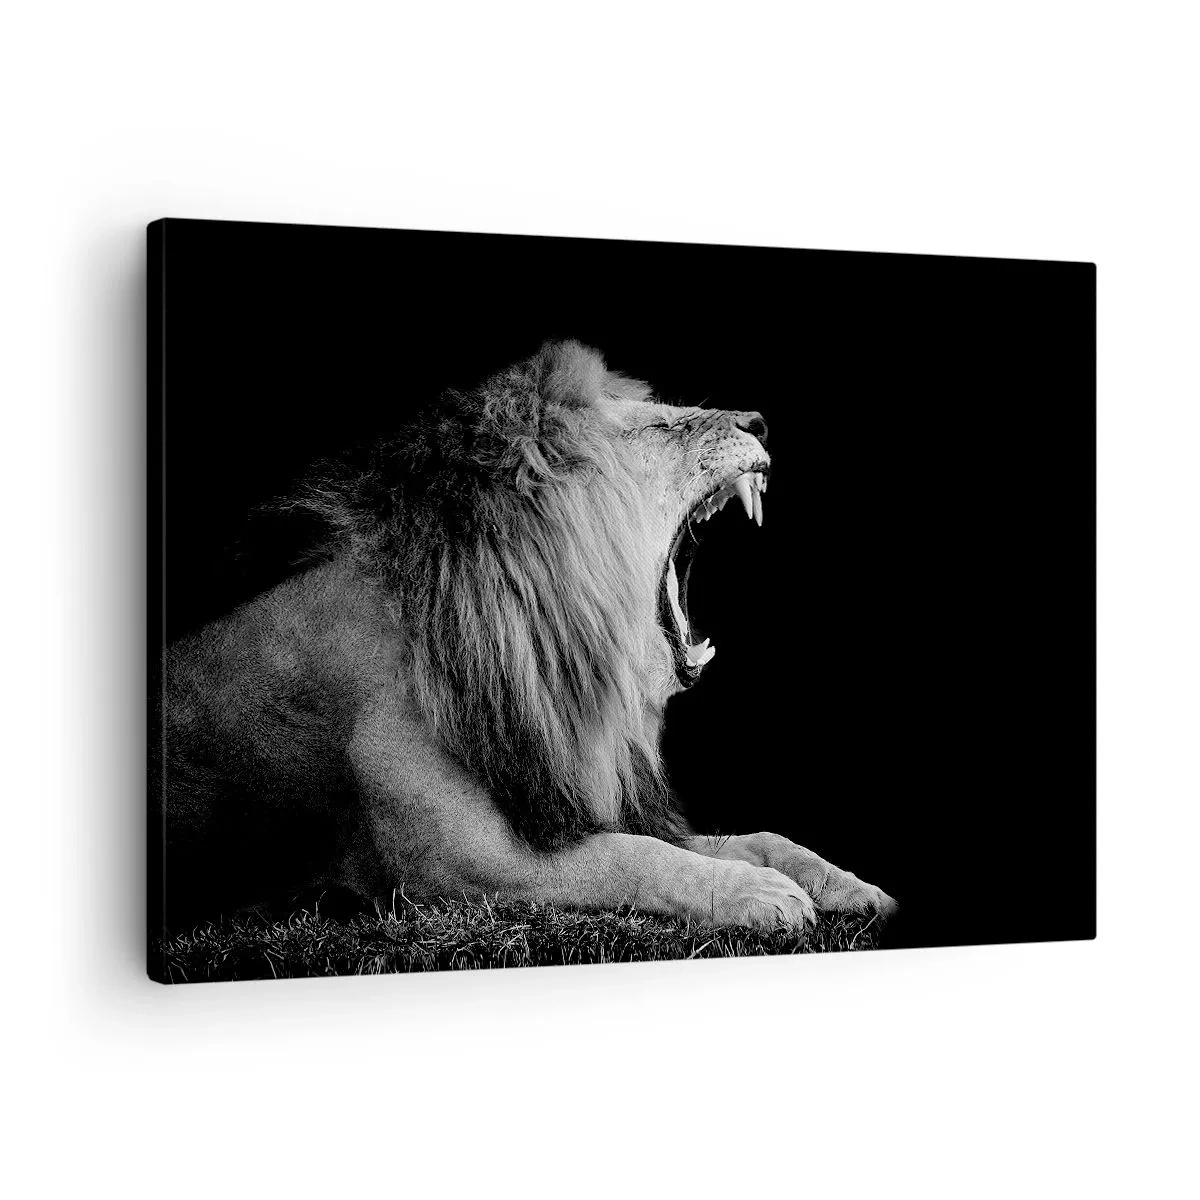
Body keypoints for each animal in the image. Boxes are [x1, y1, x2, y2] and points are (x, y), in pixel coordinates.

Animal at [156, 341, 895, 937]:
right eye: (660, 425)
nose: (759, 421)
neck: (543, 659)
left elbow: (753, 835)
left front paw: (846, 884)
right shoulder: (464, 869)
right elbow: (634, 859)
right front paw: (758, 893)